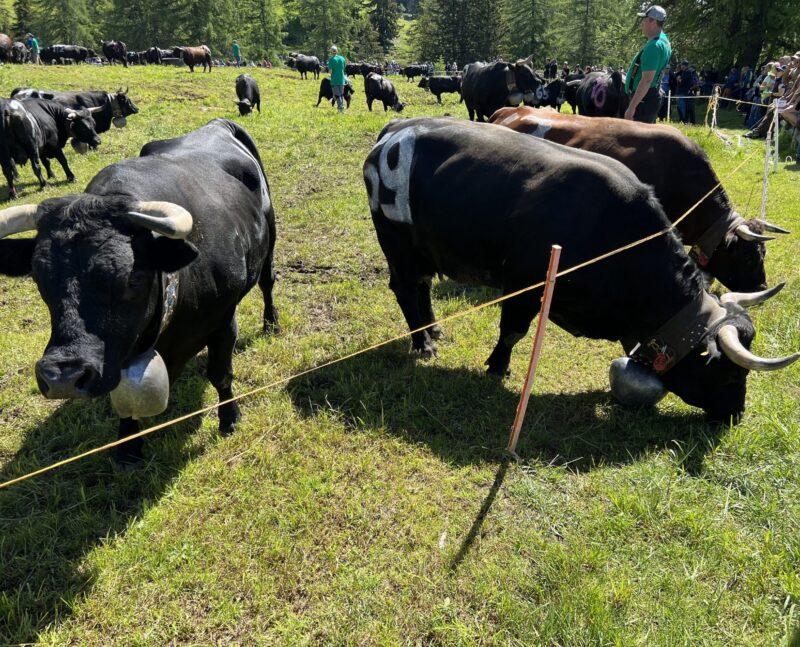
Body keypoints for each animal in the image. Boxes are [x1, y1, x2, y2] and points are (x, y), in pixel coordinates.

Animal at [0, 119, 278, 466]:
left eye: (134, 278)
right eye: (40, 279)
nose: (63, 378)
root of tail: (218, 123)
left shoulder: (223, 321)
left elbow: (221, 374)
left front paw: (229, 418)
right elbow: (124, 401)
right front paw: (128, 447)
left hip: (270, 241)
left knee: (268, 283)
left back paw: (271, 324)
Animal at [364, 118, 800, 426]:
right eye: (728, 375)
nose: (736, 415)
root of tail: (394, 132)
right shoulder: (525, 284)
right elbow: (513, 332)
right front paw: (498, 367)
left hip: (423, 249)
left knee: (421, 287)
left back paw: (432, 330)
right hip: (396, 242)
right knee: (405, 288)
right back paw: (423, 344)